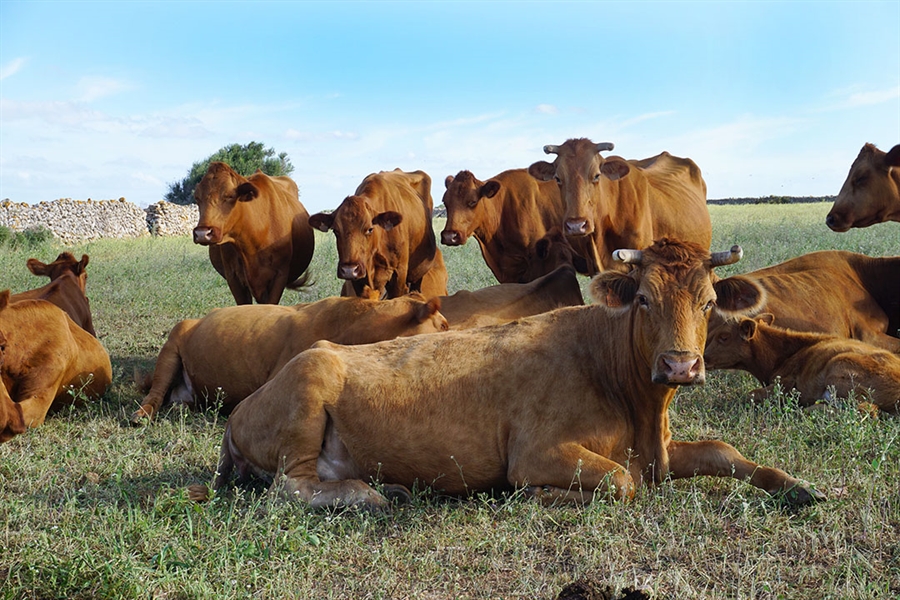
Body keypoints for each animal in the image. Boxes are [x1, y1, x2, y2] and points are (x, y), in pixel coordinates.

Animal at [704, 314, 900, 414]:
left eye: (724, 337)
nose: (703, 358)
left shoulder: (785, 385)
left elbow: (751, 394)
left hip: (840, 367)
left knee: (866, 409)